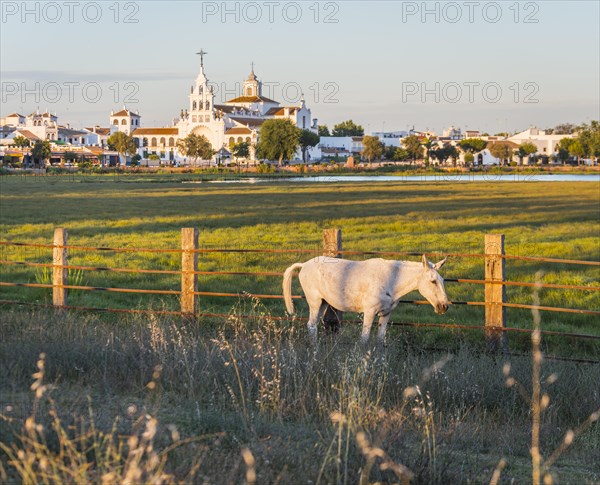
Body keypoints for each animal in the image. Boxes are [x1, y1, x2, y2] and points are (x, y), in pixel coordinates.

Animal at [284, 253, 448, 344]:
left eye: (442, 280)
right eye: (433, 281)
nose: (444, 306)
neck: (392, 279)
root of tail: (304, 265)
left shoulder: (386, 314)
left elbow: (380, 341)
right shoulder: (369, 312)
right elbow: (364, 339)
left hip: (324, 303)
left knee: (314, 325)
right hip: (315, 302)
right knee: (311, 326)